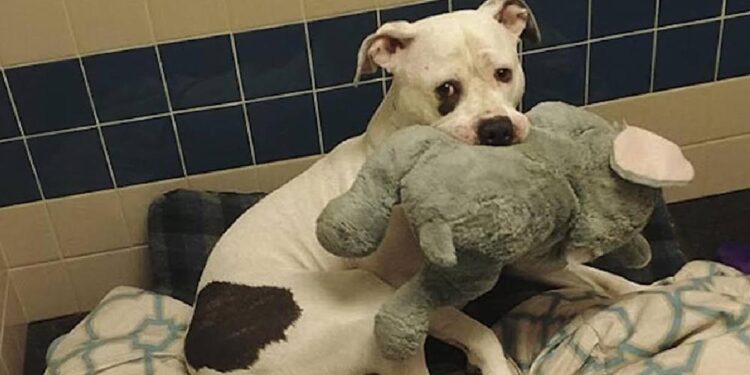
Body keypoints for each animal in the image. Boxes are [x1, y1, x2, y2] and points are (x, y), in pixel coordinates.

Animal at [187, 1, 648, 374]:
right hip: (371, 309)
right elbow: (480, 332)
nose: (497, 129)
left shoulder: (526, 262)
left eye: (503, 73)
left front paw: (648, 293)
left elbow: (598, 277)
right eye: (446, 89)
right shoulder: (418, 298)